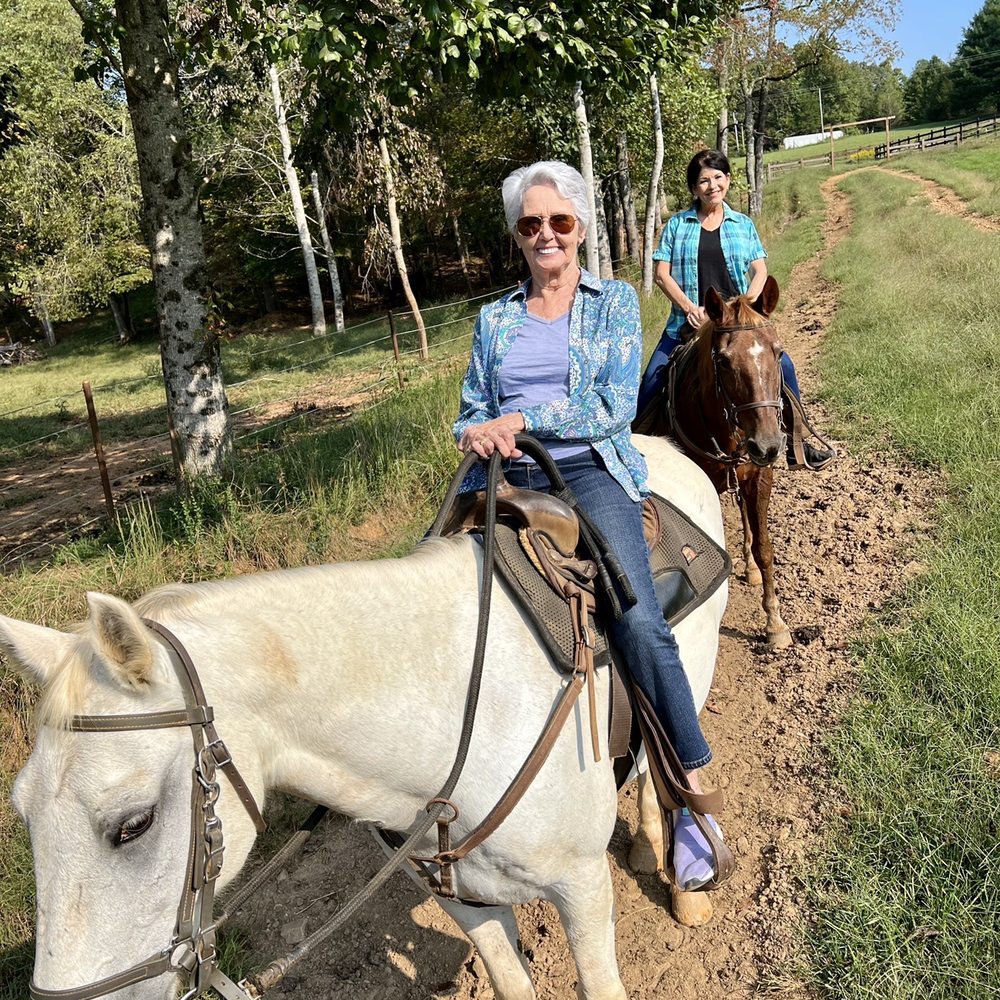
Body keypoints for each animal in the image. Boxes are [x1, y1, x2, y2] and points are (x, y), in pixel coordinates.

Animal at [2, 435, 727, 1000]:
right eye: (22, 810)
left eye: (135, 824)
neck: (456, 716)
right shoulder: (463, 899)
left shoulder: (582, 889)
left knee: (666, 764)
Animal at [641, 276, 792, 650]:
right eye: (723, 360)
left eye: (778, 352)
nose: (767, 445)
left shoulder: (760, 477)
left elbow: (765, 548)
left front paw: (775, 622)